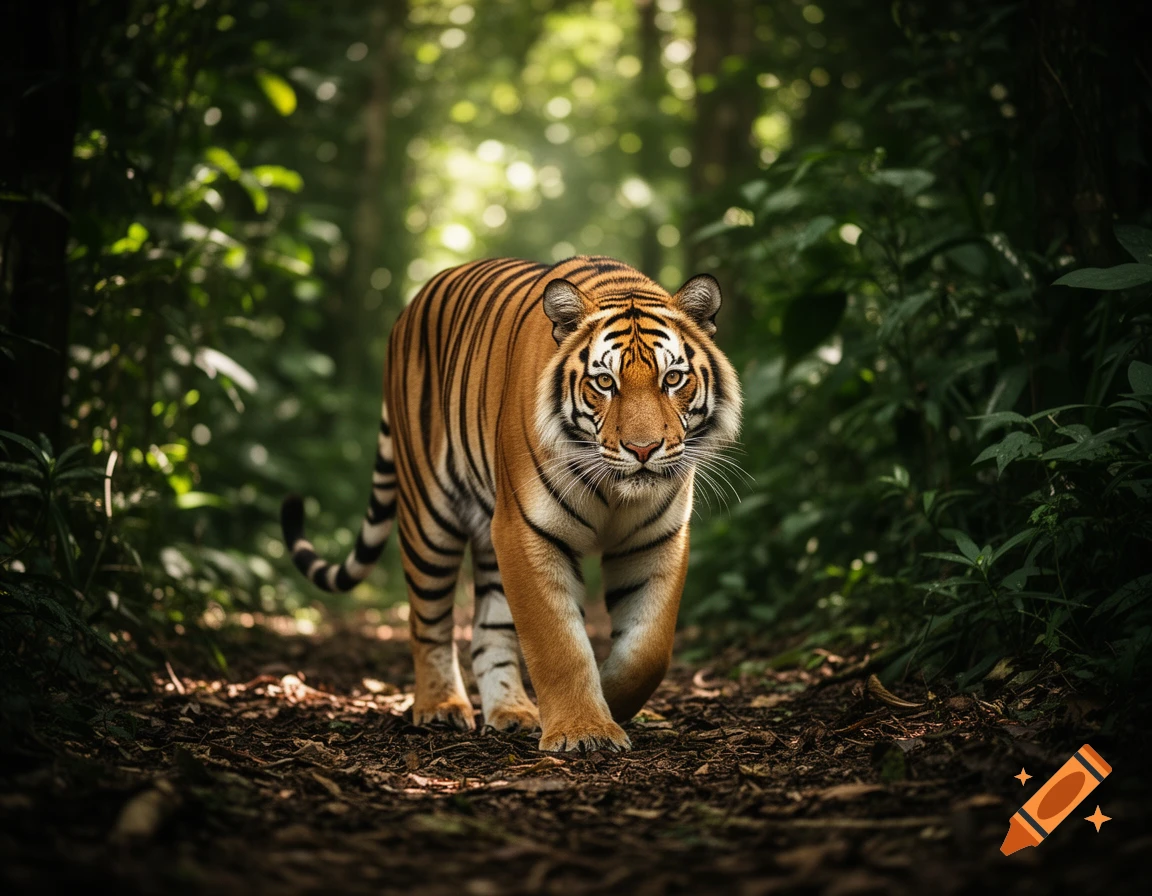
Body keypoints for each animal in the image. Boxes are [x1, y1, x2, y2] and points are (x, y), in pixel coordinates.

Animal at [281, 255, 741, 752]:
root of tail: (411, 307)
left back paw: (513, 712)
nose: (643, 449)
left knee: (487, 634)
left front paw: (608, 701)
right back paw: (441, 706)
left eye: (672, 378)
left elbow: (648, 650)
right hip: (430, 519)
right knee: (428, 621)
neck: (615, 492)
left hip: (489, 531)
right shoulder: (527, 530)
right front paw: (584, 729)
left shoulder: (657, 540)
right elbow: (557, 642)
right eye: (604, 382)